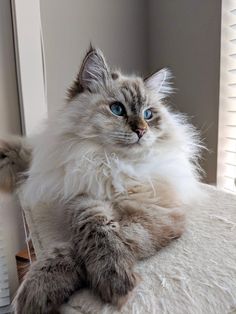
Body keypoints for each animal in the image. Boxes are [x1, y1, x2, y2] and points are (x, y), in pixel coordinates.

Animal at [0, 46, 203, 314]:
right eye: (118, 109)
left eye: (148, 115)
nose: (141, 131)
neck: (109, 163)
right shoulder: (82, 197)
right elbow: (93, 230)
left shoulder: (153, 213)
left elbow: (92, 245)